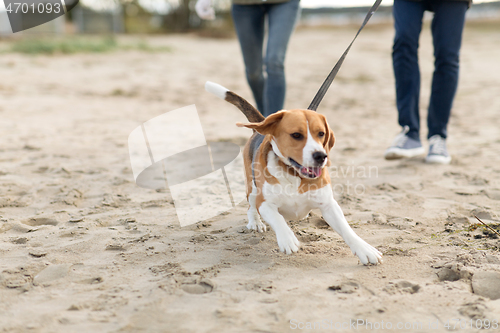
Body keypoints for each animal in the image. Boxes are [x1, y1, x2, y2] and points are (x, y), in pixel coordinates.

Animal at [205, 81, 380, 264]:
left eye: (321, 133)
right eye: (296, 135)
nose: (321, 156)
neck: (294, 174)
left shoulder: (328, 204)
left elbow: (347, 229)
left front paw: (364, 249)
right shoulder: (264, 203)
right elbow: (278, 219)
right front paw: (287, 239)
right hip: (252, 190)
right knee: (250, 207)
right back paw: (255, 223)